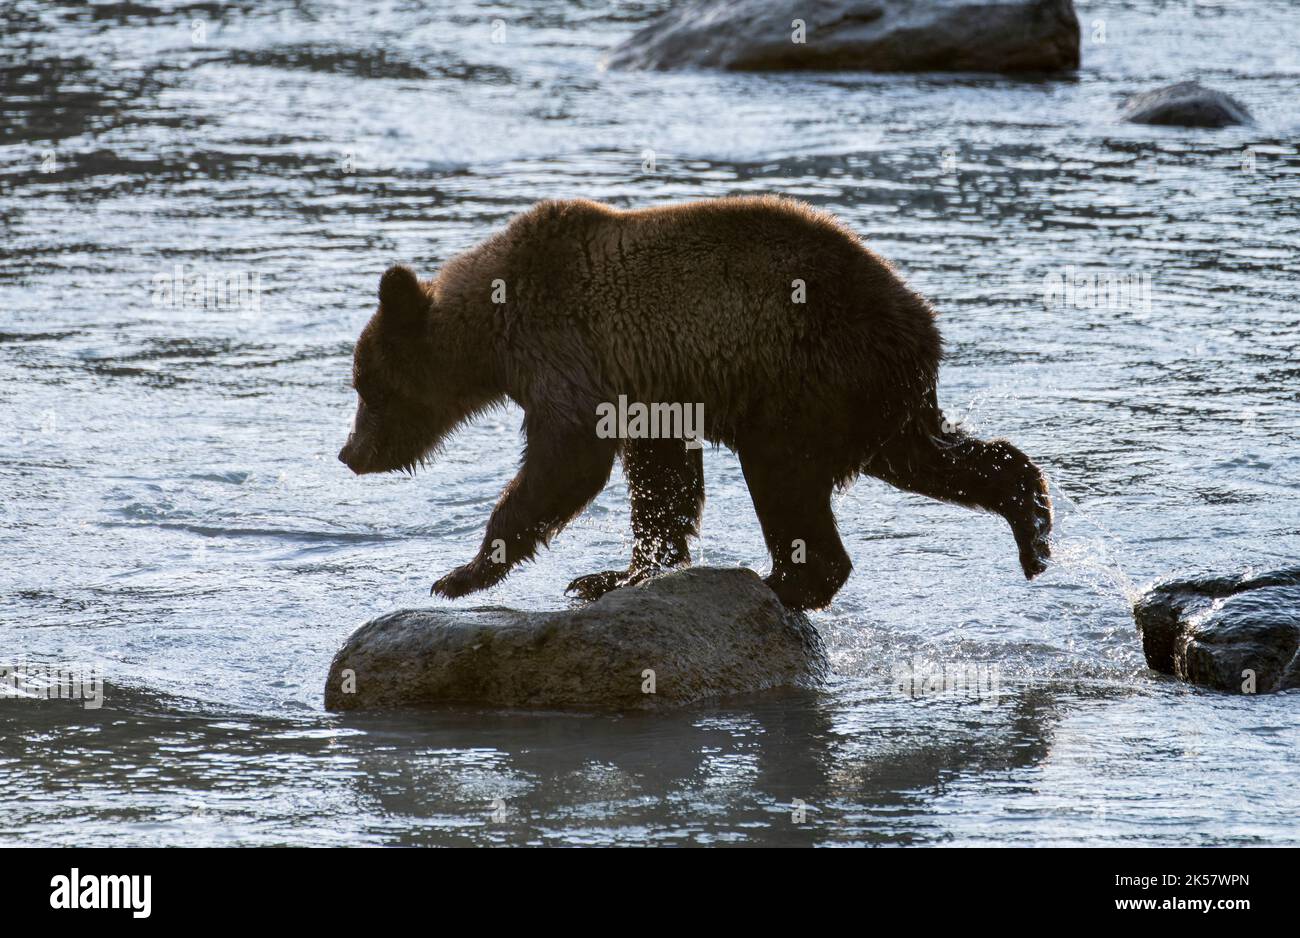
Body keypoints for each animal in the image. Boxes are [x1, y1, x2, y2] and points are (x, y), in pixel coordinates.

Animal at [338, 196, 1052, 611]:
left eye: (366, 387)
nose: (349, 453)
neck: (490, 330)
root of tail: (921, 322)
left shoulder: (565, 348)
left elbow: (565, 460)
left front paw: (461, 574)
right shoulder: (649, 383)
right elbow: (661, 475)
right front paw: (617, 574)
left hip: (809, 373)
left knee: (785, 476)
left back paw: (781, 581)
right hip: (876, 398)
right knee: (932, 456)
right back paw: (1033, 526)